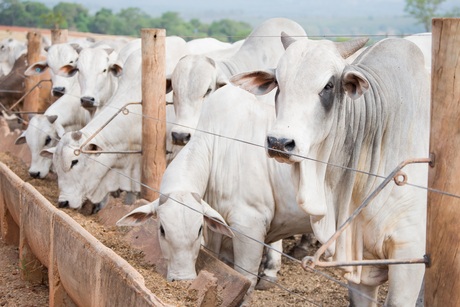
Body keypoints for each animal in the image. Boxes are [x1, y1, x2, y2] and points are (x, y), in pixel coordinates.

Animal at [117, 84, 314, 296]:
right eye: (161, 230)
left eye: (198, 230)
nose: (183, 279)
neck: (216, 146)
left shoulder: (250, 224)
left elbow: (247, 279)